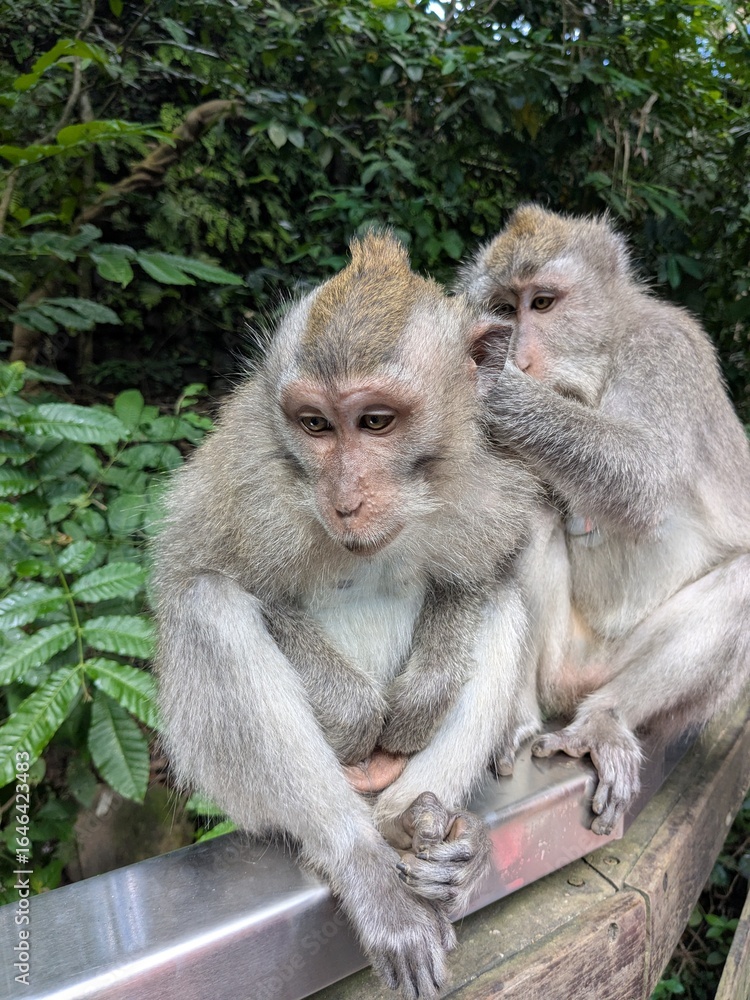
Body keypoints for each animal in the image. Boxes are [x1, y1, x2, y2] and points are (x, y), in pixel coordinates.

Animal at [152, 232, 541, 999]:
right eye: (315, 426)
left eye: (376, 422)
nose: (345, 499)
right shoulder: (251, 478)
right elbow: (207, 576)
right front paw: (358, 715)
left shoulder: (488, 466)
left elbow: (484, 573)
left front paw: (419, 701)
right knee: (207, 609)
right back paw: (362, 859)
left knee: (505, 603)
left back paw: (424, 833)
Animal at [458, 204, 750, 836]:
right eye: (504, 308)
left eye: (542, 303)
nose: (518, 354)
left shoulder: (664, 354)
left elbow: (643, 473)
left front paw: (495, 385)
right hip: (562, 663)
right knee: (529, 514)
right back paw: (520, 715)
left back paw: (605, 719)